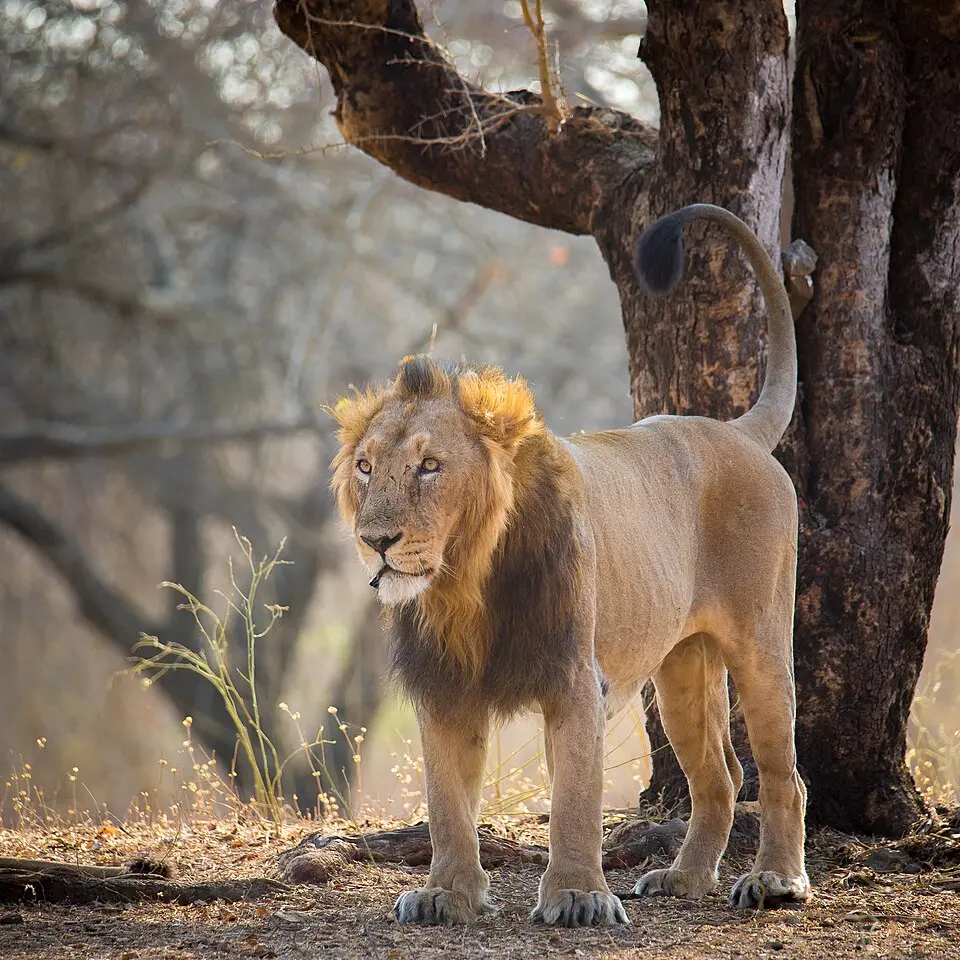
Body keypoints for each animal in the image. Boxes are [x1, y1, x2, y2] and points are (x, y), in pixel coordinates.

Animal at [329, 203, 810, 927]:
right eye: (365, 466)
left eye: (430, 466)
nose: (376, 540)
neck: (465, 579)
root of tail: (735, 430)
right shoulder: (443, 685)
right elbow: (447, 802)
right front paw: (447, 893)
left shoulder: (577, 678)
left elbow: (575, 801)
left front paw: (579, 895)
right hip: (682, 666)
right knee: (720, 776)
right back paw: (685, 878)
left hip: (759, 640)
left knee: (784, 774)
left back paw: (775, 881)